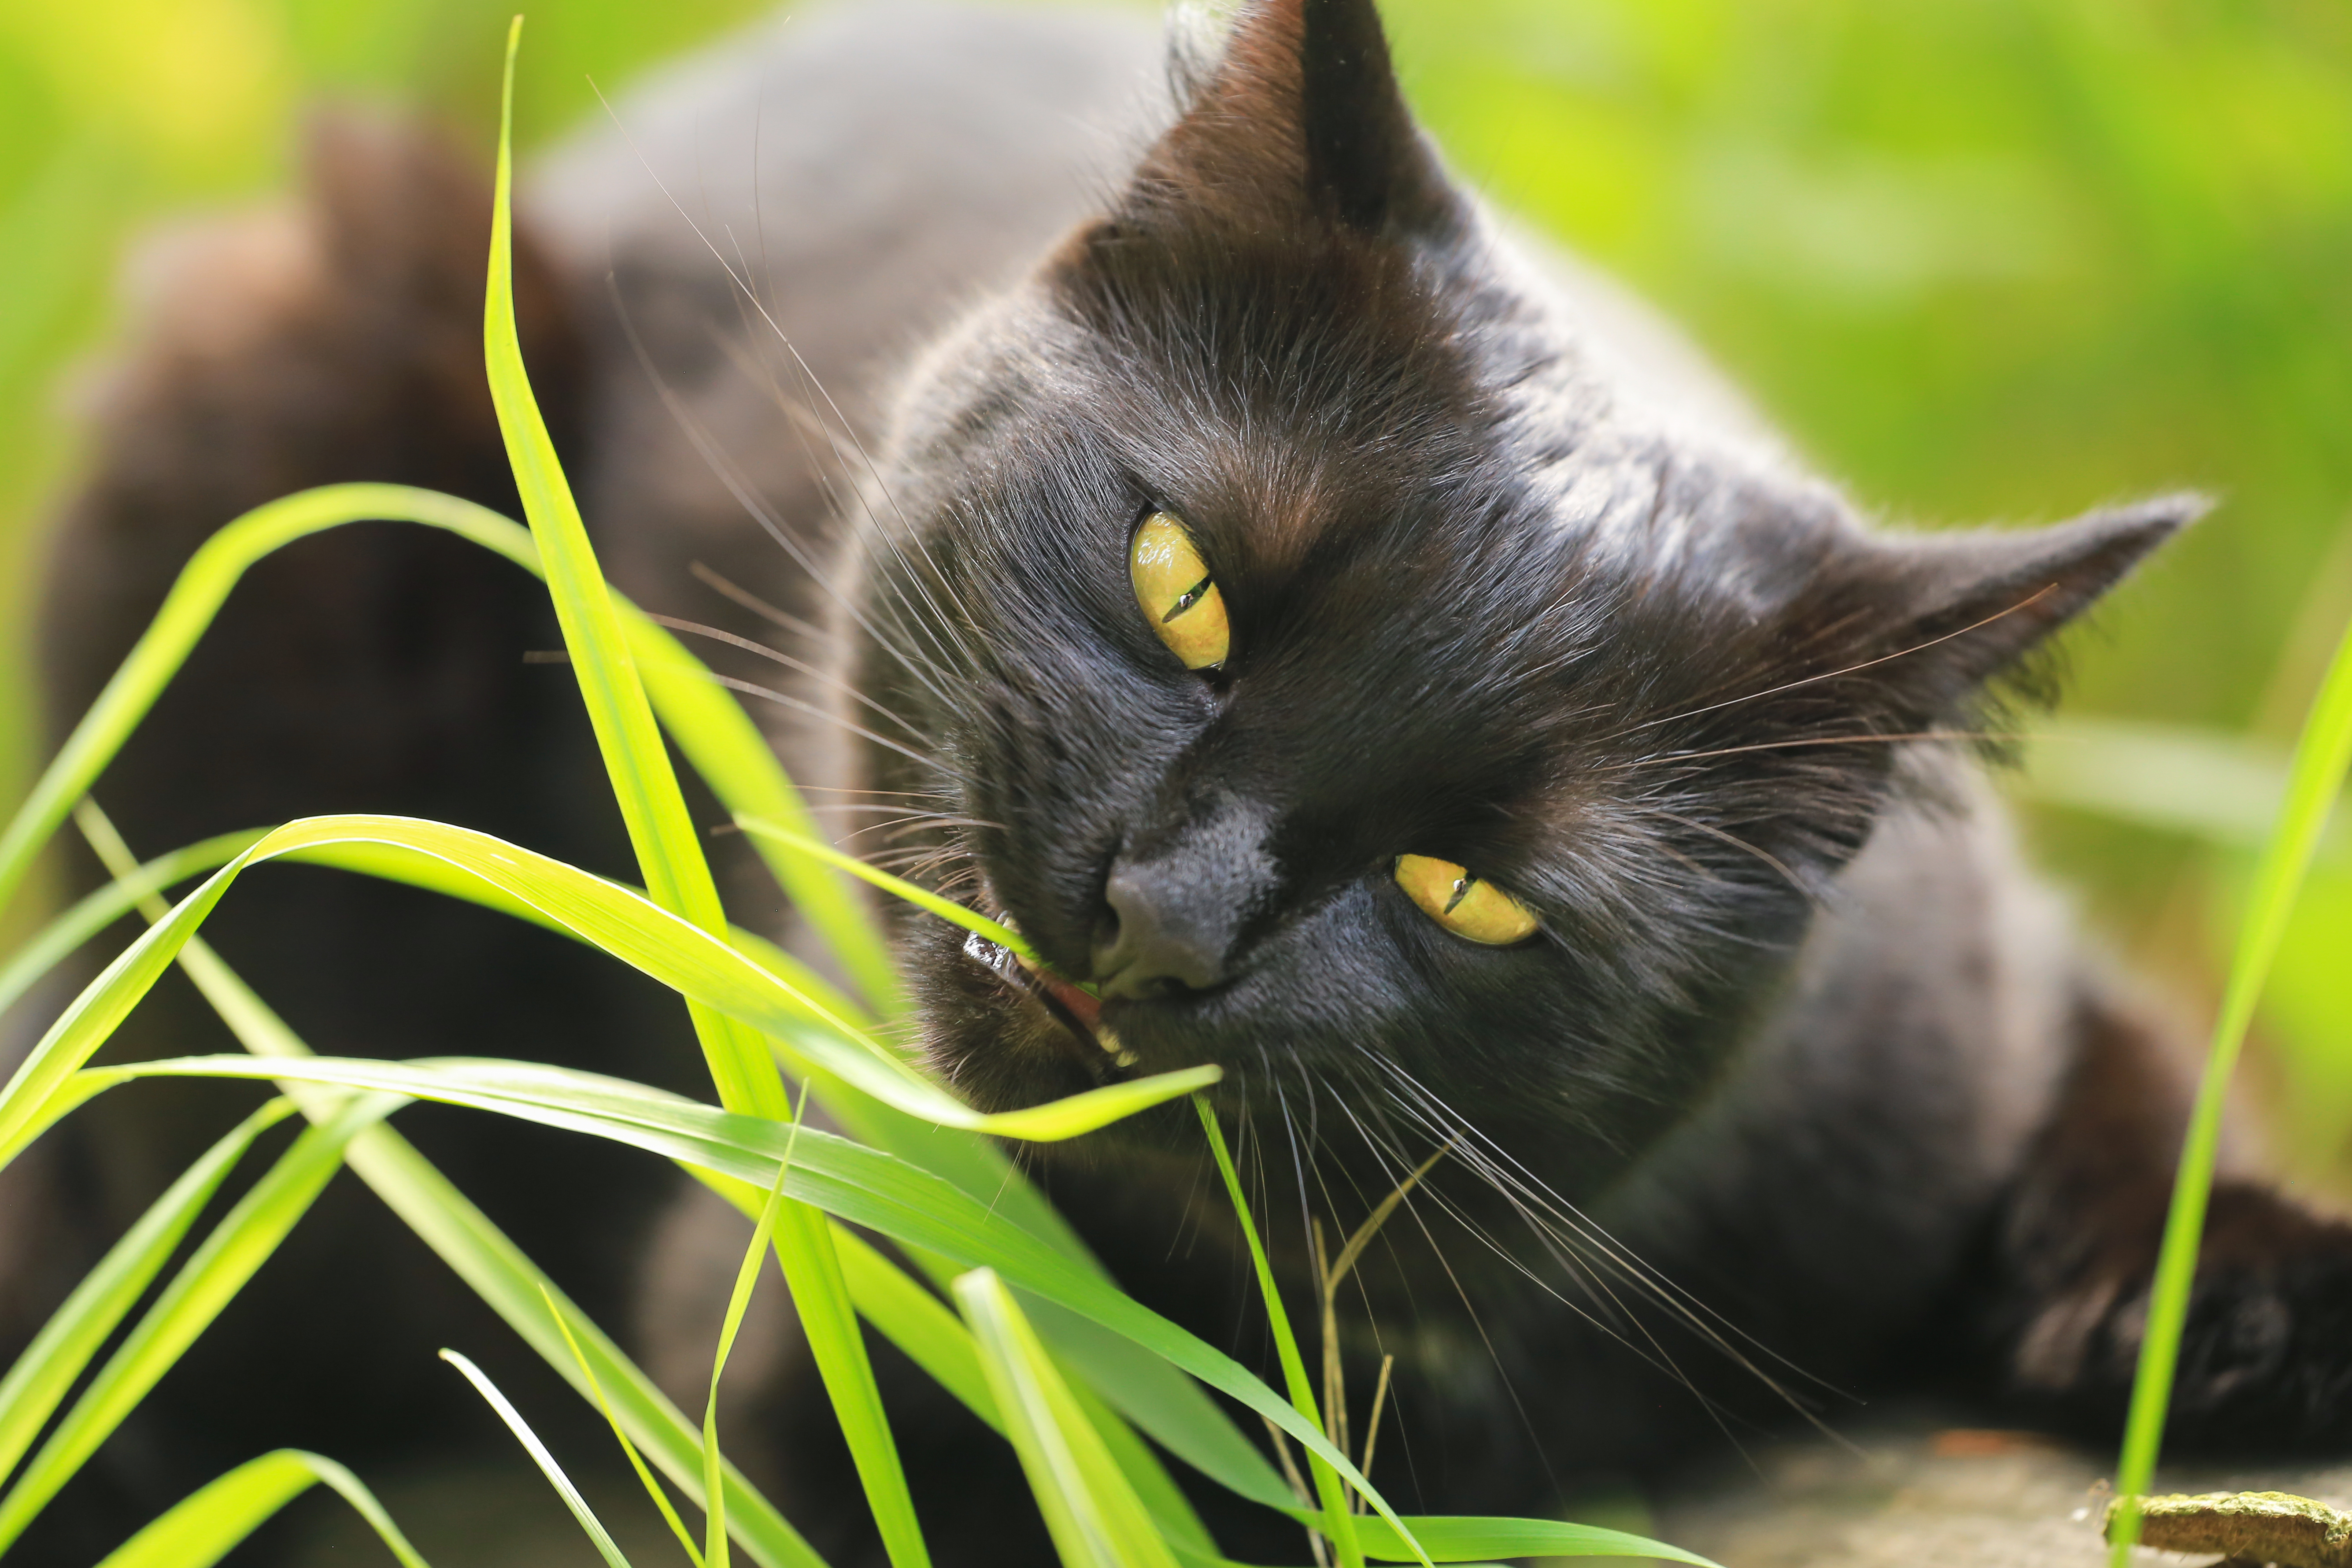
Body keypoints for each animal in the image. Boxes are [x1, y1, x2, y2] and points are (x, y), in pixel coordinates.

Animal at [9, 3, 2342, 1568]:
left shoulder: (1976, 1000)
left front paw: (2247, 1309)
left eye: (1471, 888)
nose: (1165, 912)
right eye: (1181, 584)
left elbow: (2143, 1095)